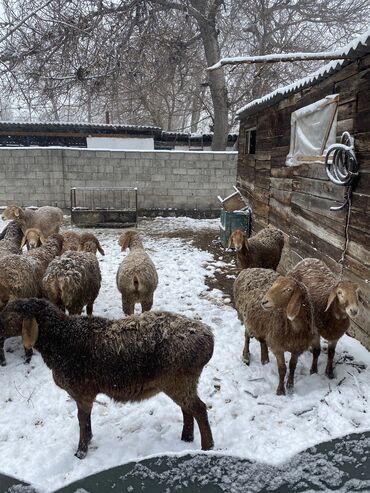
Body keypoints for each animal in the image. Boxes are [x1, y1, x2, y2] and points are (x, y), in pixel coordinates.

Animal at [0, 298, 214, 460]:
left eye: (8, 315)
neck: (62, 341)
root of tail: (208, 337)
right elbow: (85, 420)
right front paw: (89, 440)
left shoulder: (83, 392)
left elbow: (82, 420)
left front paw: (81, 452)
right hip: (180, 382)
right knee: (187, 409)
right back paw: (186, 438)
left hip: (179, 379)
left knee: (199, 409)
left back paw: (208, 447)